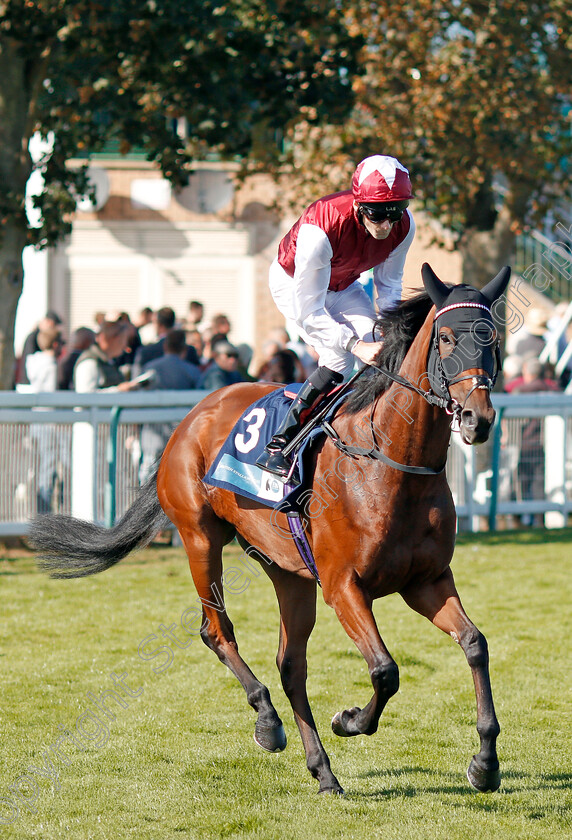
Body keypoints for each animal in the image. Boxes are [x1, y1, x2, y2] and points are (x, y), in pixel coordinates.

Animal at [30, 262, 510, 796]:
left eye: (493, 337)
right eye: (445, 337)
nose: (477, 418)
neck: (390, 461)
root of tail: (194, 414)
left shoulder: (425, 581)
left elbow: (475, 644)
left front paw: (484, 763)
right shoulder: (344, 586)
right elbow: (385, 671)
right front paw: (349, 720)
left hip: (288, 571)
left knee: (291, 665)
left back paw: (322, 770)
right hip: (201, 538)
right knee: (217, 632)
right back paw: (268, 722)